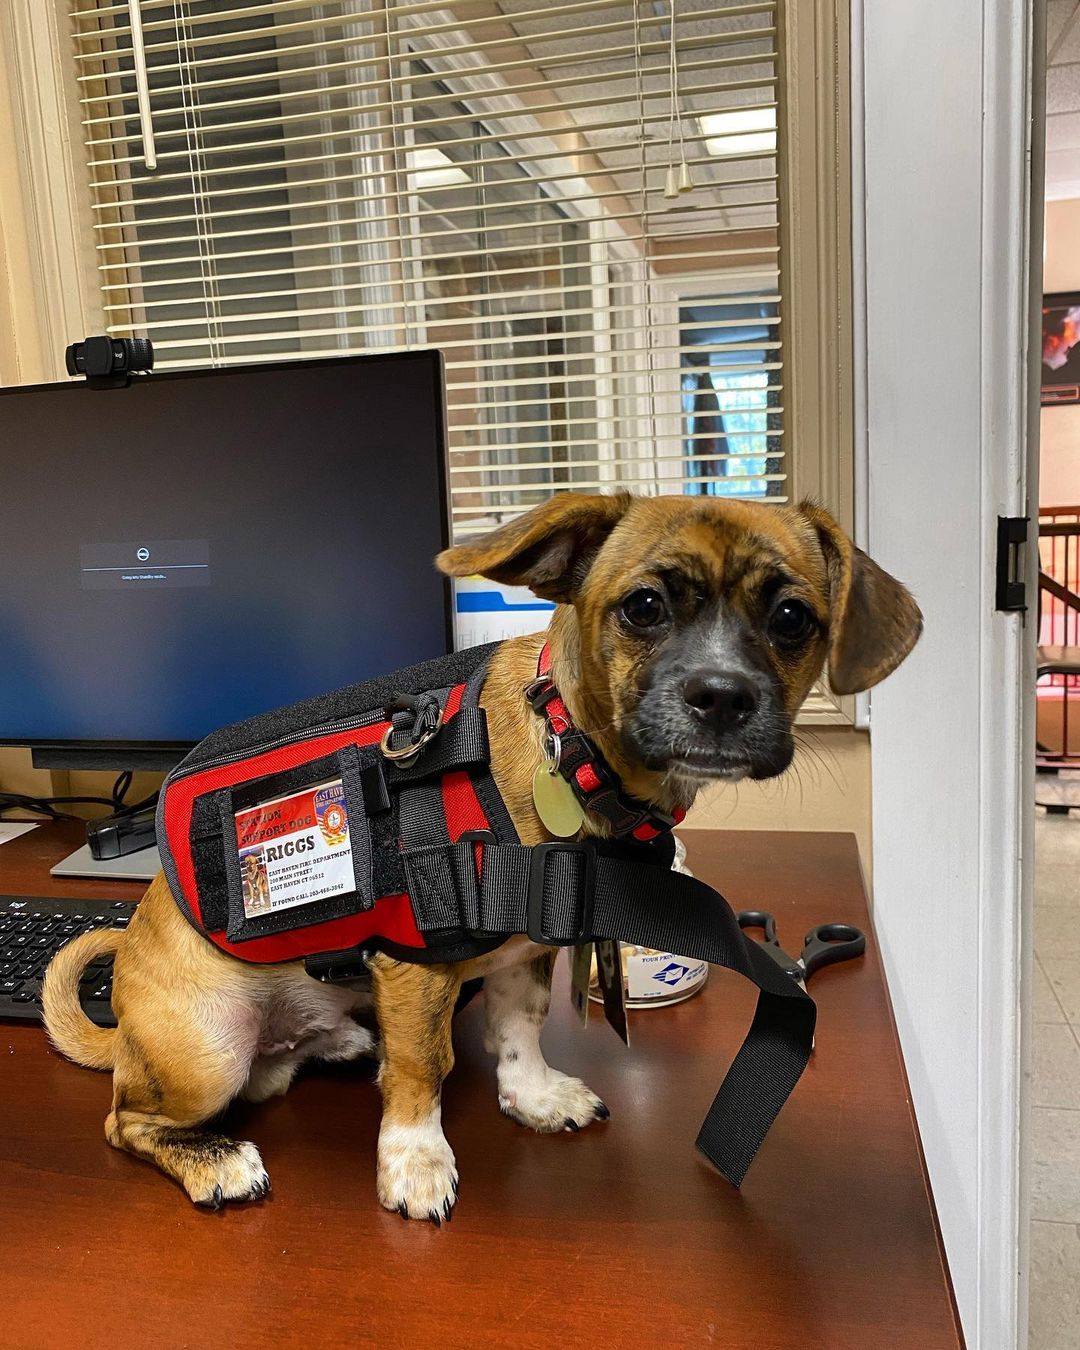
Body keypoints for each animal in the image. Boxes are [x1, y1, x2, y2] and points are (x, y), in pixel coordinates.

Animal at [42, 491, 918, 1220]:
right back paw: (215, 1160)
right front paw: (414, 1160)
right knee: (128, 1122)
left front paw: (530, 1095)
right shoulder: (417, 967)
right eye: (643, 607)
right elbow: (422, 1069)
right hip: (207, 1050)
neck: (568, 751)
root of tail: (126, 1032)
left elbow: (518, 1030)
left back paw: (342, 1042)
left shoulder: (523, 954)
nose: (724, 695)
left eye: (794, 618)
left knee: (276, 1066)